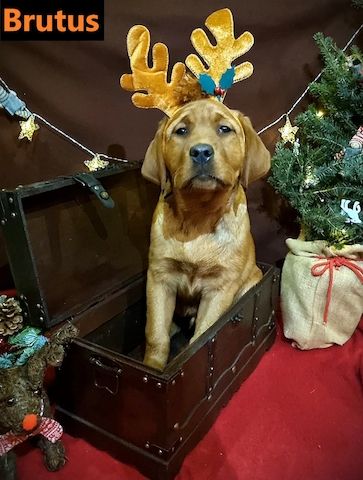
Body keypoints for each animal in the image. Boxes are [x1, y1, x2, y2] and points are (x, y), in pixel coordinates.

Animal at [142, 95, 270, 370]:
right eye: (181, 131)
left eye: (224, 129)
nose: (201, 151)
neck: (197, 217)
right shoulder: (159, 278)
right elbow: (156, 335)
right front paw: (152, 367)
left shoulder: (220, 287)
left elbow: (201, 336)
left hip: (250, 280)